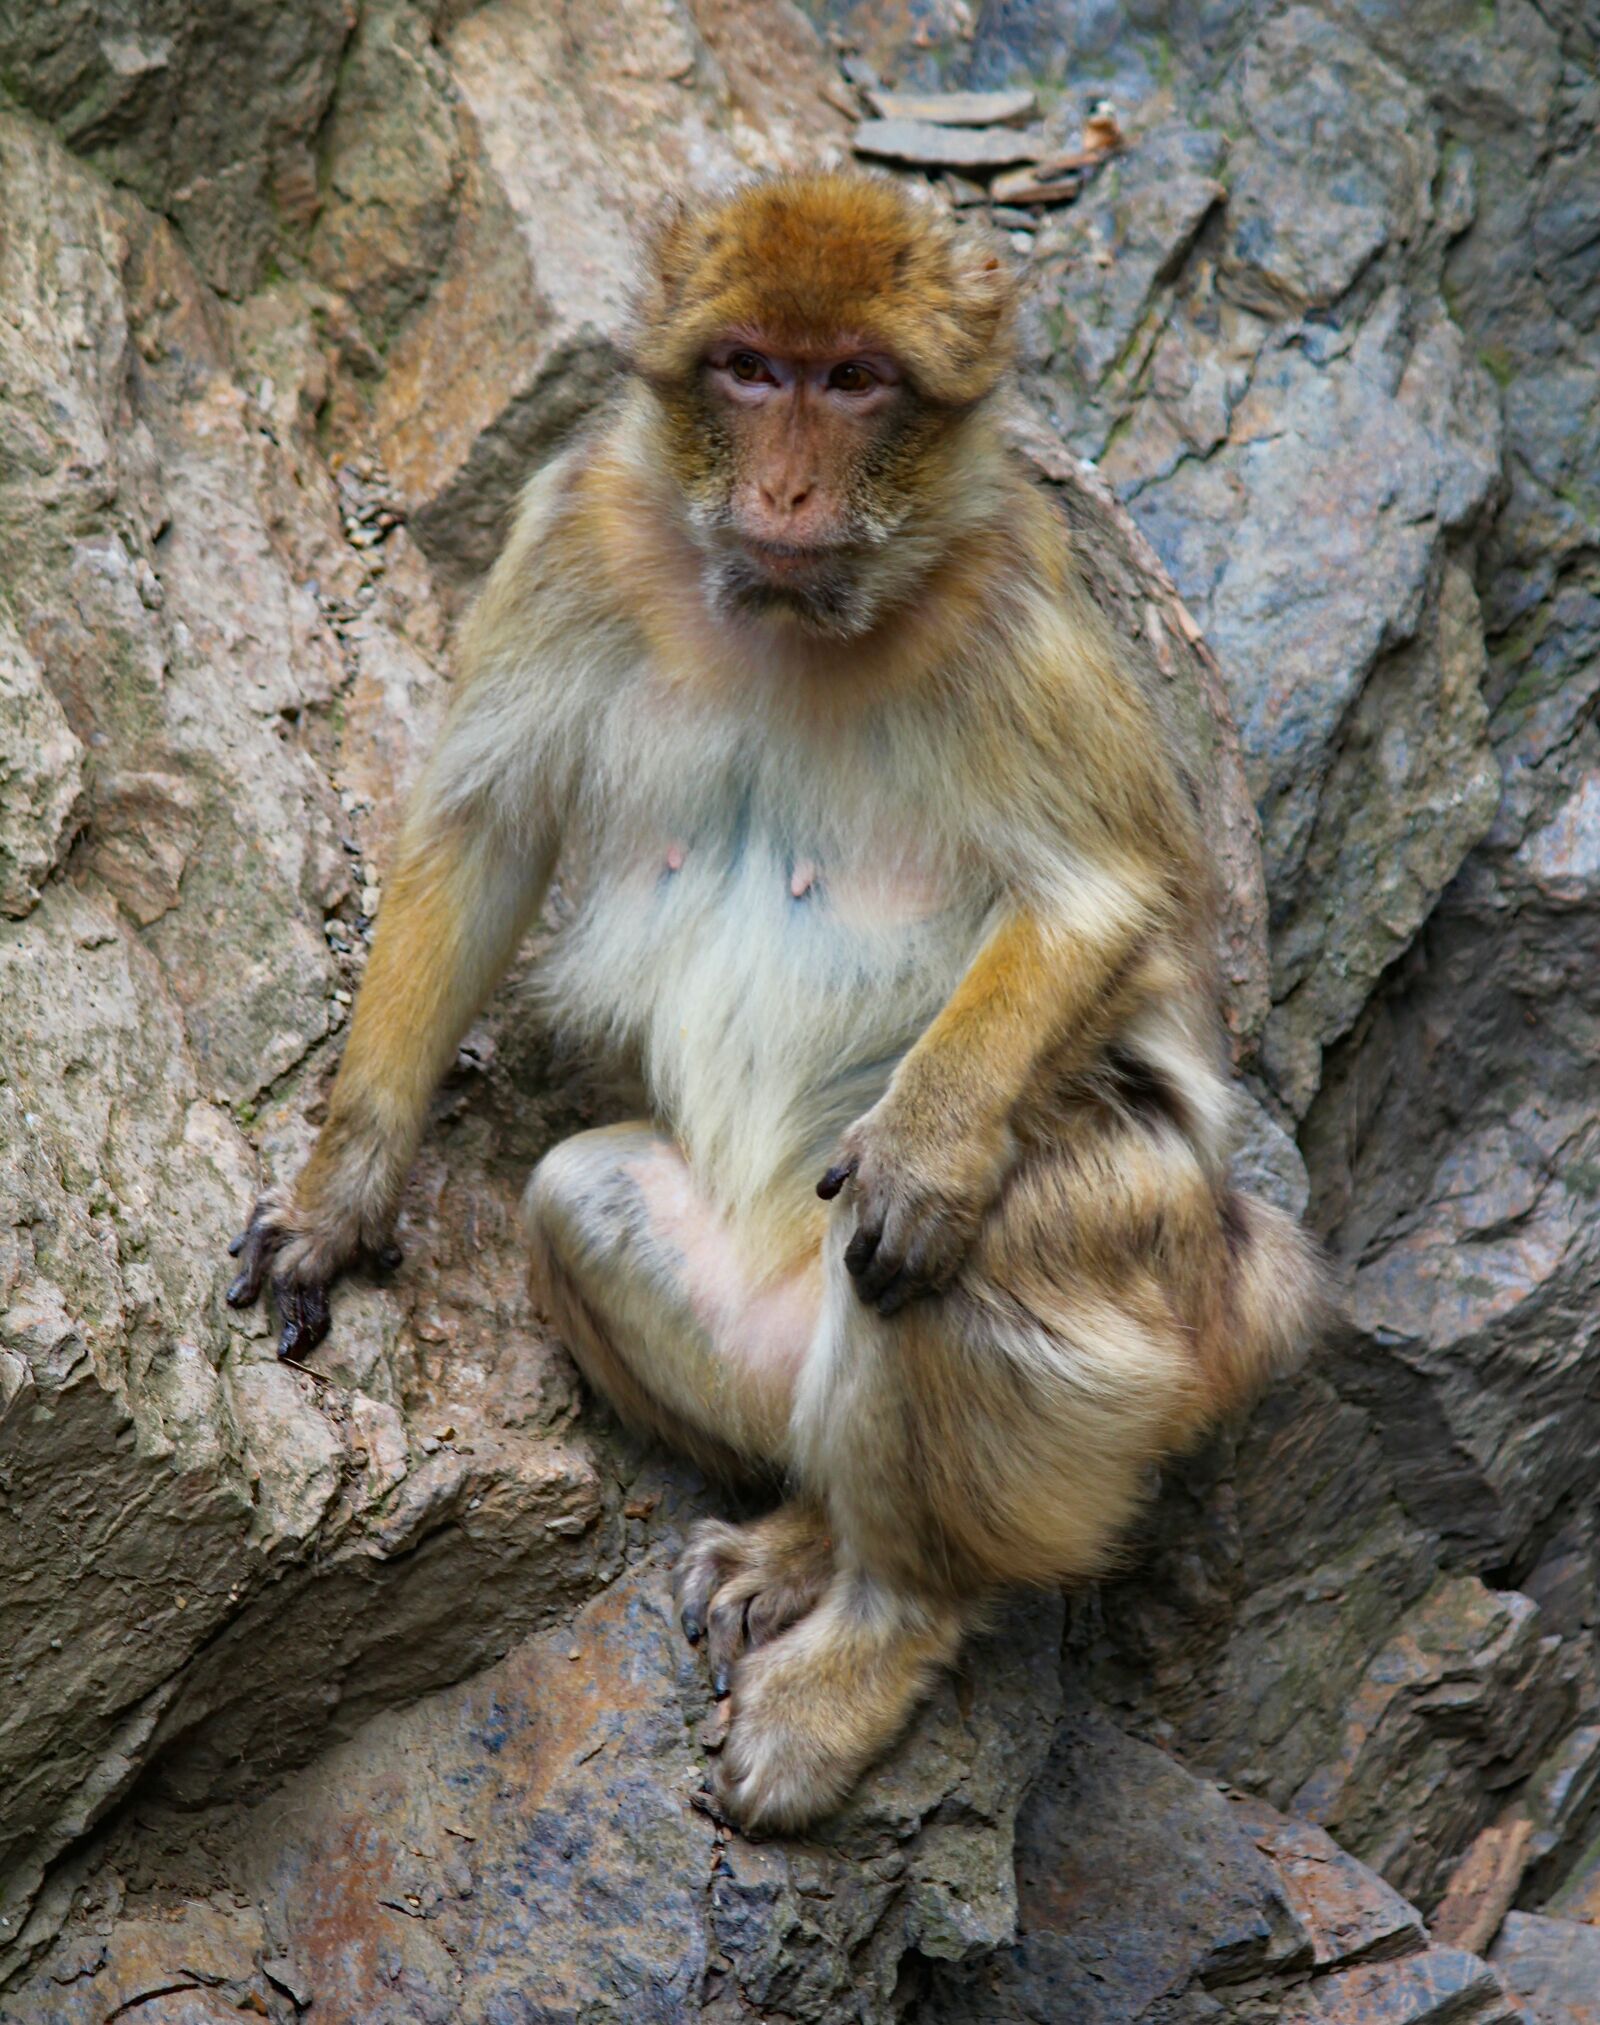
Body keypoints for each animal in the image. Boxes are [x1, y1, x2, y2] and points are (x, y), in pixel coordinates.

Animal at [227, 170, 1325, 1832]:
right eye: (752, 370)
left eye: (854, 381)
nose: (791, 491)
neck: (791, 613)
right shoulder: (576, 528)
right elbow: (483, 838)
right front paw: (342, 1195)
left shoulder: (1010, 596)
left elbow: (1098, 898)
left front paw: (925, 1153)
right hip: (762, 1346)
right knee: (582, 1200)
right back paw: (807, 1529)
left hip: (1137, 1294)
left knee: (969, 1251)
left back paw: (875, 1629)